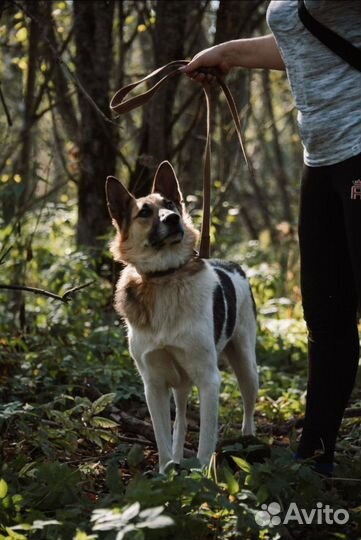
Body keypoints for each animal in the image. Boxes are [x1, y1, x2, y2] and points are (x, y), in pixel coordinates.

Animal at [105, 161, 258, 472]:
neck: (165, 278)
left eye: (171, 204)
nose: (174, 219)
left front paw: (201, 476)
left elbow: (205, 443)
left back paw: (249, 439)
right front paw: (167, 471)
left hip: (245, 361)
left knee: (249, 403)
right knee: (182, 422)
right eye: (145, 212)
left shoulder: (209, 380)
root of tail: (232, 264)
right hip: (180, 381)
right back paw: (177, 457)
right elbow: (164, 437)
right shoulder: (153, 385)